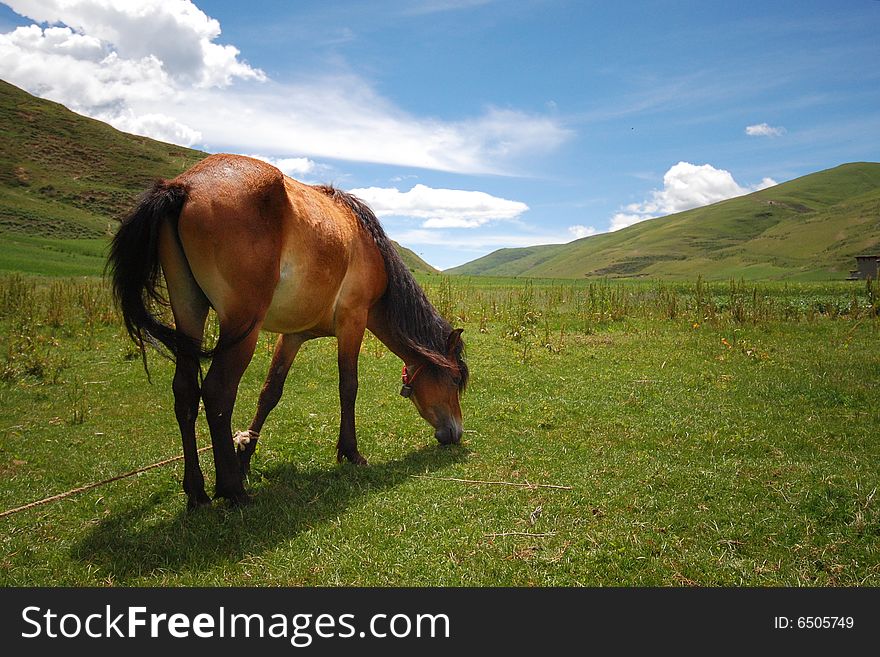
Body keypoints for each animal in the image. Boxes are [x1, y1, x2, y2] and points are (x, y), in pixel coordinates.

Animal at [107, 154, 468, 508]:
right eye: (453, 381)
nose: (456, 433)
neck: (370, 247)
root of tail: (185, 186)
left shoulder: (293, 336)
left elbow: (270, 393)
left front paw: (245, 457)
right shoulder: (353, 321)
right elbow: (348, 386)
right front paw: (350, 452)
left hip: (189, 313)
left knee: (185, 392)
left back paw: (197, 492)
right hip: (242, 327)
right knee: (217, 392)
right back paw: (232, 489)